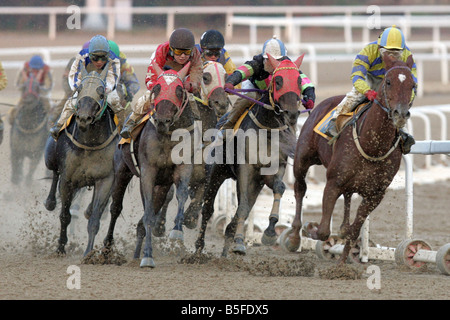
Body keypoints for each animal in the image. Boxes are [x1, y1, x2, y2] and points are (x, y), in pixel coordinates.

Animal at [42, 63, 118, 258]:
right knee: (54, 174)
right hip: (50, 158)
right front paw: (60, 247)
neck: (89, 143)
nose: (83, 118)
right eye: (79, 89)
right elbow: (65, 215)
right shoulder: (67, 179)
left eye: (101, 93)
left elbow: (94, 219)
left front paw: (89, 253)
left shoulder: (105, 179)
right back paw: (50, 202)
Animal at [106, 61, 196, 266]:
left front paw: (177, 231)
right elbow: (147, 214)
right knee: (115, 208)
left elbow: (182, 195)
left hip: (161, 187)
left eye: (179, 90)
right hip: (122, 171)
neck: (168, 136)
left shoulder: (183, 168)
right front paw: (148, 256)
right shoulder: (148, 172)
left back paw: (135, 255)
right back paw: (105, 249)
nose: (162, 120)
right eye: (156, 88)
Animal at [194, 53, 304, 256]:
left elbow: (278, 188)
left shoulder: (272, 171)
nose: (291, 113)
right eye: (278, 80)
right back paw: (199, 249)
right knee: (208, 210)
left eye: (299, 80)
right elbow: (243, 206)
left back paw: (226, 250)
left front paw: (269, 233)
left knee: (236, 217)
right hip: (216, 173)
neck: (267, 129)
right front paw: (240, 243)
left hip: (255, 184)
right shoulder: (246, 169)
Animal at [288, 53, 414, 264]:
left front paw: (342, 263)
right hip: (302, 158)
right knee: (300, 188)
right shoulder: (333, 183)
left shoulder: (375, 194)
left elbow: (353, 231)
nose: (400, 113)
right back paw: (294, 237)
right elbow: (323, 231)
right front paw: (310, 228)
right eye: (388, 81)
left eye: (413, 84)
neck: (373, 145)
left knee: (347, 198)